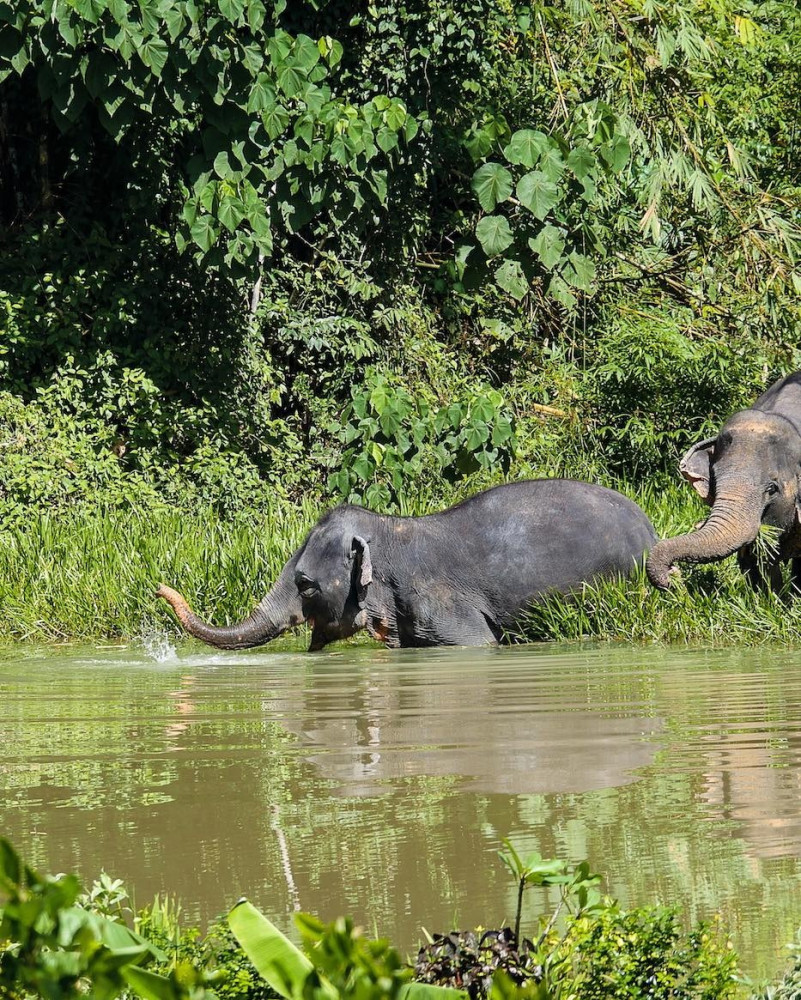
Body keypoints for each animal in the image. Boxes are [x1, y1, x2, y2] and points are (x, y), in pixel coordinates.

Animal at [157, 479, 656, 651]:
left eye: (305, 584)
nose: (160, 589)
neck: (390, 529)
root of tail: (650, 529)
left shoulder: (439, 604)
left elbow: (479, 643)